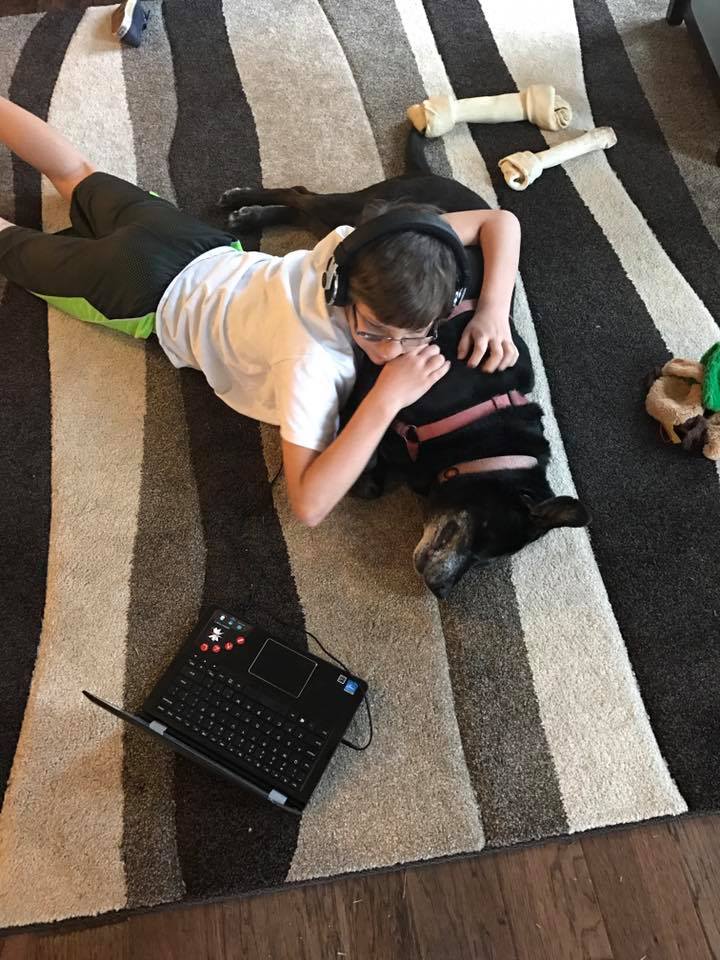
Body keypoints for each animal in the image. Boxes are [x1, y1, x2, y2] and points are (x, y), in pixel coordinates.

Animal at [218, 131, 589, 597]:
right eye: (484, 542)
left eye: (487, 560)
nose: (442, 591)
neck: (481, 428)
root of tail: (433, 174)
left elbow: (374, 477)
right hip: (360, 208)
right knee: (303, 196)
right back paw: (245, 207)